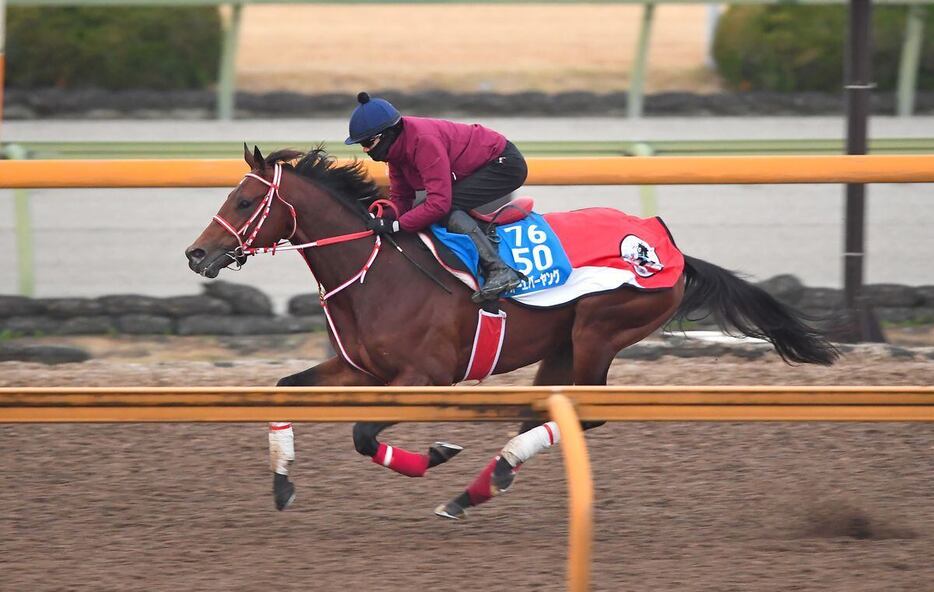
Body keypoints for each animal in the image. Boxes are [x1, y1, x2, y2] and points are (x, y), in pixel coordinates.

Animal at [185, 146, 840, 520]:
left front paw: (435, 455)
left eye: (244, 201)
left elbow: (364, 436)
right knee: (545, 410)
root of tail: (666, 246)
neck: (377, 270)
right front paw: (281, 485)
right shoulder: (359, 369)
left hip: (600, 333)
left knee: (584, 413)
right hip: (562, 347)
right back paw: (479, 486)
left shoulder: (423, 377)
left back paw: (484, 479)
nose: (196, 254)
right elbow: (283, 389)